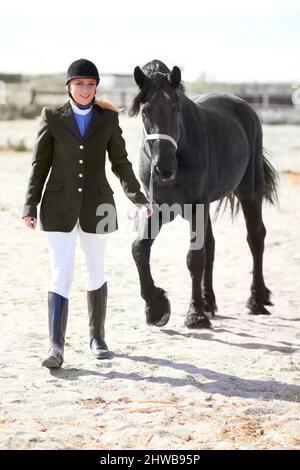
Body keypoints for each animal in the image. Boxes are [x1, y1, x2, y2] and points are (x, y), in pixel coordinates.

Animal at [128, 60, 276, 328]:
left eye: (175, 108)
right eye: (145, 110)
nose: (164, 168)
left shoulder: (197, 206)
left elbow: (194, 259)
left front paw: (195, 314)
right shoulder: (160, 208)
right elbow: (139, 249)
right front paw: (156, 308)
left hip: (249, 192)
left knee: (255, 238)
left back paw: (256, 300)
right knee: (212, 245)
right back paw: (210, 303)